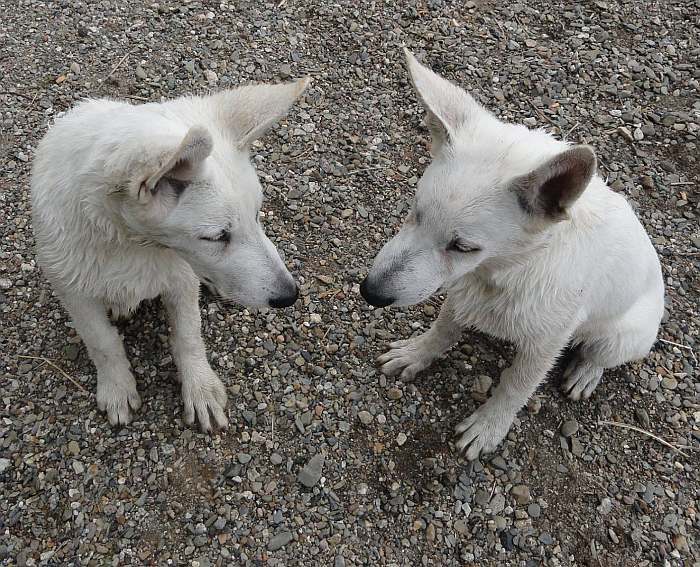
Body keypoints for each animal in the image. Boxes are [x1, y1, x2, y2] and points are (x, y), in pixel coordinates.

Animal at [30, 79, 308, 430]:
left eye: (257, 213)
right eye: (216, 237)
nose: (290, 295)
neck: (131, 242)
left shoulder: (182, 280)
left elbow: (188, 335)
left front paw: (199, 387)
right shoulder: (73, 291)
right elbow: (102, 341)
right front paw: (117, 386)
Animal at [364, 51, 664, 462]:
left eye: (463, 247)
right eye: (415, 212)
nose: (370, 293)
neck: (507, 270)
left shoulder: (546, 343)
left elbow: (515, 386)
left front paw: (490, 425)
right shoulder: (461, 293)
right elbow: (442, 330)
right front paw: (418, 352)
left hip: (617, 337)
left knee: (601, 356)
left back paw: (586, 371)